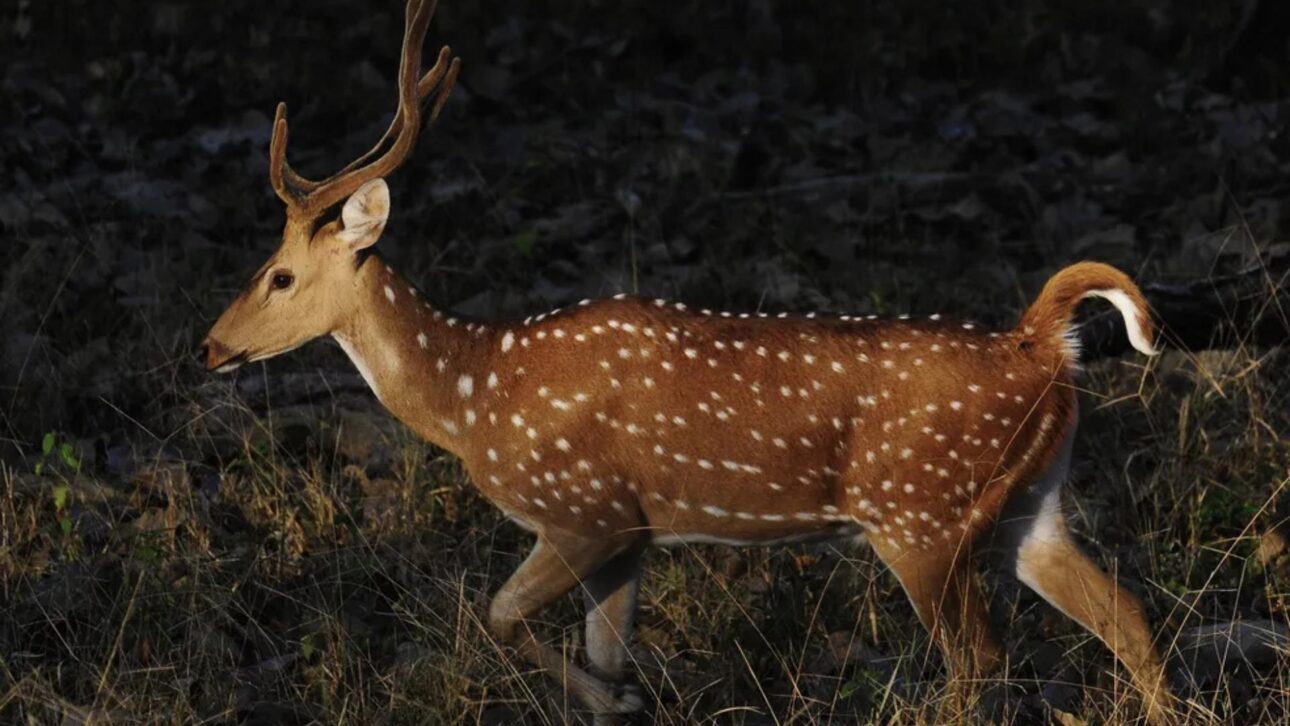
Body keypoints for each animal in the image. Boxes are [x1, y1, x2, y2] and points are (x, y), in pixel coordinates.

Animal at [198, 1, 1177, 722]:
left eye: (280, 274)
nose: (211, 346)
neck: (476, 395)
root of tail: (1039, 343)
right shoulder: (631, 531)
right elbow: (597, 648)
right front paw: (616, 696)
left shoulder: (582, 509)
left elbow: (499, 615)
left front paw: (620, 698)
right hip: (1028, 503)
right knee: (1127, 616)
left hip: (920, 516)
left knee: (983, 661)